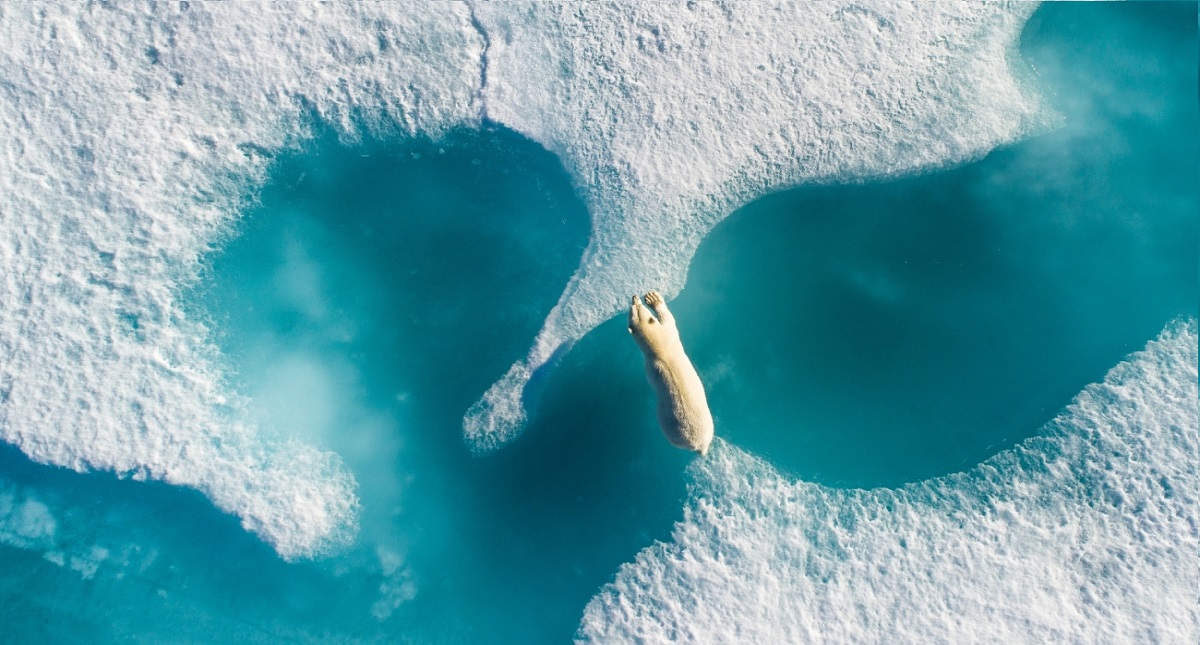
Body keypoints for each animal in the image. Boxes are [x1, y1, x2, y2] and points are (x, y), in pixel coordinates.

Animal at [628, 291, 714, 456]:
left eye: (636, 307)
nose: (634, 298)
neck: (660, 349)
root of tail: (697, 445)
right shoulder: (667, 338)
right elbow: (669, 320)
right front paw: (653, 299)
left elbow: (669, 321)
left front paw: (651, 298)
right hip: (668, 425)